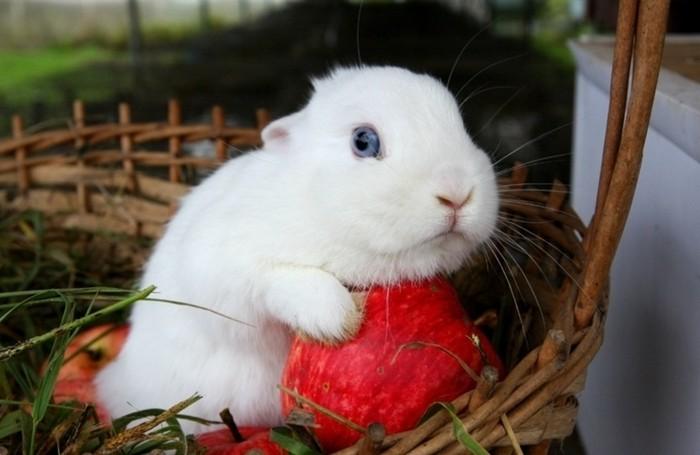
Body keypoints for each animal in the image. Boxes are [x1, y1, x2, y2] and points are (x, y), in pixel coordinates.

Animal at [94, 65, 498, 434]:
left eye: (462, 126)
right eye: (364, 141)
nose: (457, 193)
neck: (318, 203)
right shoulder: (222, 265)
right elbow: (275, 281)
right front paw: (338, 320)